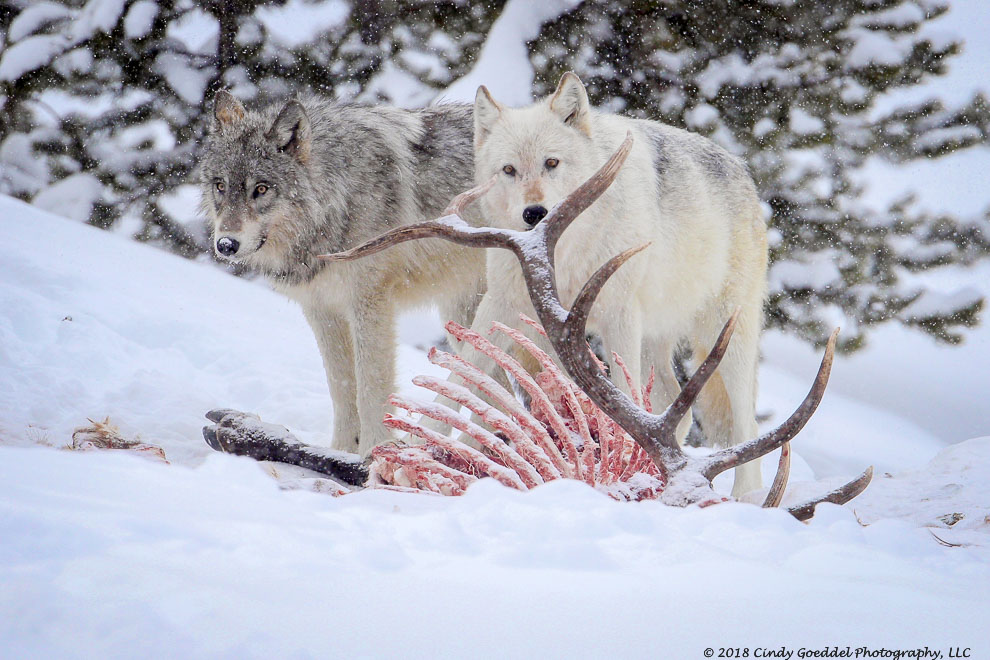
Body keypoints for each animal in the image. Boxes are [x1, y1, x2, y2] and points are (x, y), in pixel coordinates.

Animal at [200, 90, 486, 456]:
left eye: (261, 189)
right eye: (220, 185)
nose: (226, 244)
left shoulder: (370, 303)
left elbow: (370, 389)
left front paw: (374, 454)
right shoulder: (322, 309)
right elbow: (342, 388)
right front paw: (339, 452)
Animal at [468, 73, 772, 496]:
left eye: (551, 163)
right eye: (509, 170)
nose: (534, 213)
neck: (563, 251)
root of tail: (742, 169)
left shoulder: (618, 316)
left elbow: (622, 400)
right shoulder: (502, 304)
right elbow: (462, 367)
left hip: (724, 335)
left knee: (747, 423)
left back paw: (746, 497)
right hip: (654, 340)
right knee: (672, 405)